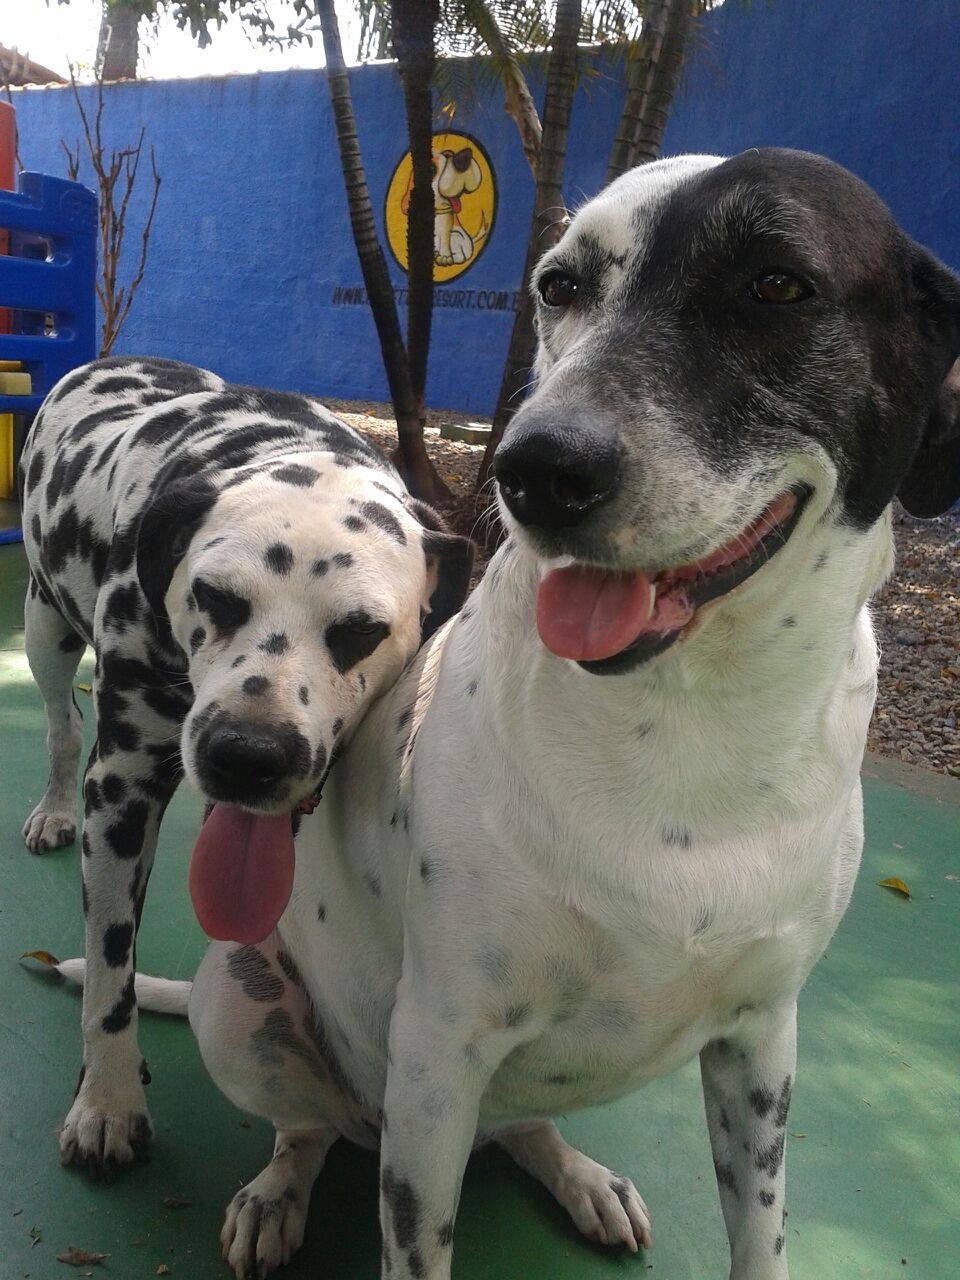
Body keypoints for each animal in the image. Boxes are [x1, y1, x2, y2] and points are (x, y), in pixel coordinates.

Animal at [17, 358, 473, 1172]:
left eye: (361, 630)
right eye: (216, 597)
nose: (247, 756)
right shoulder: (122, 793)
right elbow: (108, 973)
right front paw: (107, 1100)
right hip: (44, 630)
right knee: (62, 729)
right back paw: (53, 808)